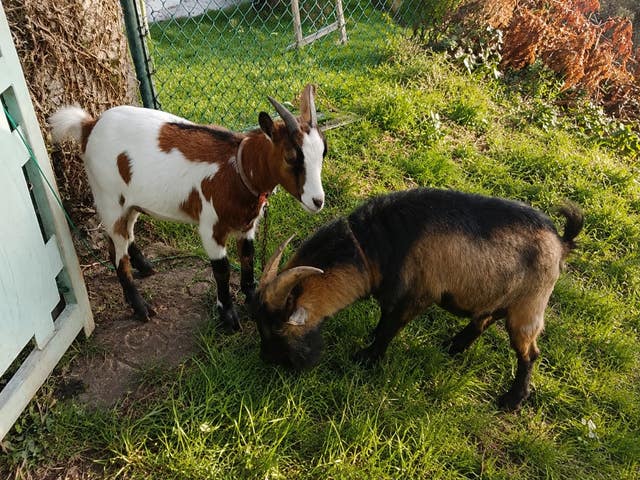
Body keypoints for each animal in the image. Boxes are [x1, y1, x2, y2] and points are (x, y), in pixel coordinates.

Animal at [49, 84, 327, 331]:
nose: (318, 201)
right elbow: (222, 270)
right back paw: (141, 308)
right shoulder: (211, 228)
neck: (236, 169)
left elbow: (248, 259)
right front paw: (227, 316)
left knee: (126, 236)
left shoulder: (247, 225)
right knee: (116, 252)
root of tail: (89, 125)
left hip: (130, 202)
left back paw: (145, 268)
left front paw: (252, 300)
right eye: (291, 156)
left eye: (323, 152)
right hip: (108, 198)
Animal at [253, 188, 583, 411]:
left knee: (529, 353)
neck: (374, 247)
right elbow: (383, 321)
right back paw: (454, 346)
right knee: (484, 318)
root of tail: (561, 242)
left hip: (529, 304)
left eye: (278, 330)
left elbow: (388, 329)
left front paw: (367, 358)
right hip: (500, 295)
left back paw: (512, 399)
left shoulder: (415, 297)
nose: (268, 361)